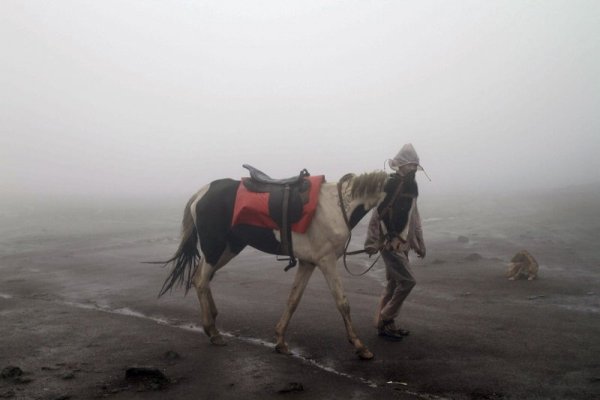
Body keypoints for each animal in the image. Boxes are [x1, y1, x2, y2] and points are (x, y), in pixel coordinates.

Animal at [158, 169, 404, 360]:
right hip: (214, 247)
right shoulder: (326, 262)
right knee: (200, 279)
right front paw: (360, 347)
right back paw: (213, 331)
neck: (336, 206)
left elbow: (293, 300)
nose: (398, 243)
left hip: (228, 248)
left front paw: (280, 341)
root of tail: (201, 193)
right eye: (405, 199)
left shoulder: (308, 263)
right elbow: (343, 303)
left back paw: (213, 319)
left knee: (202, 278)